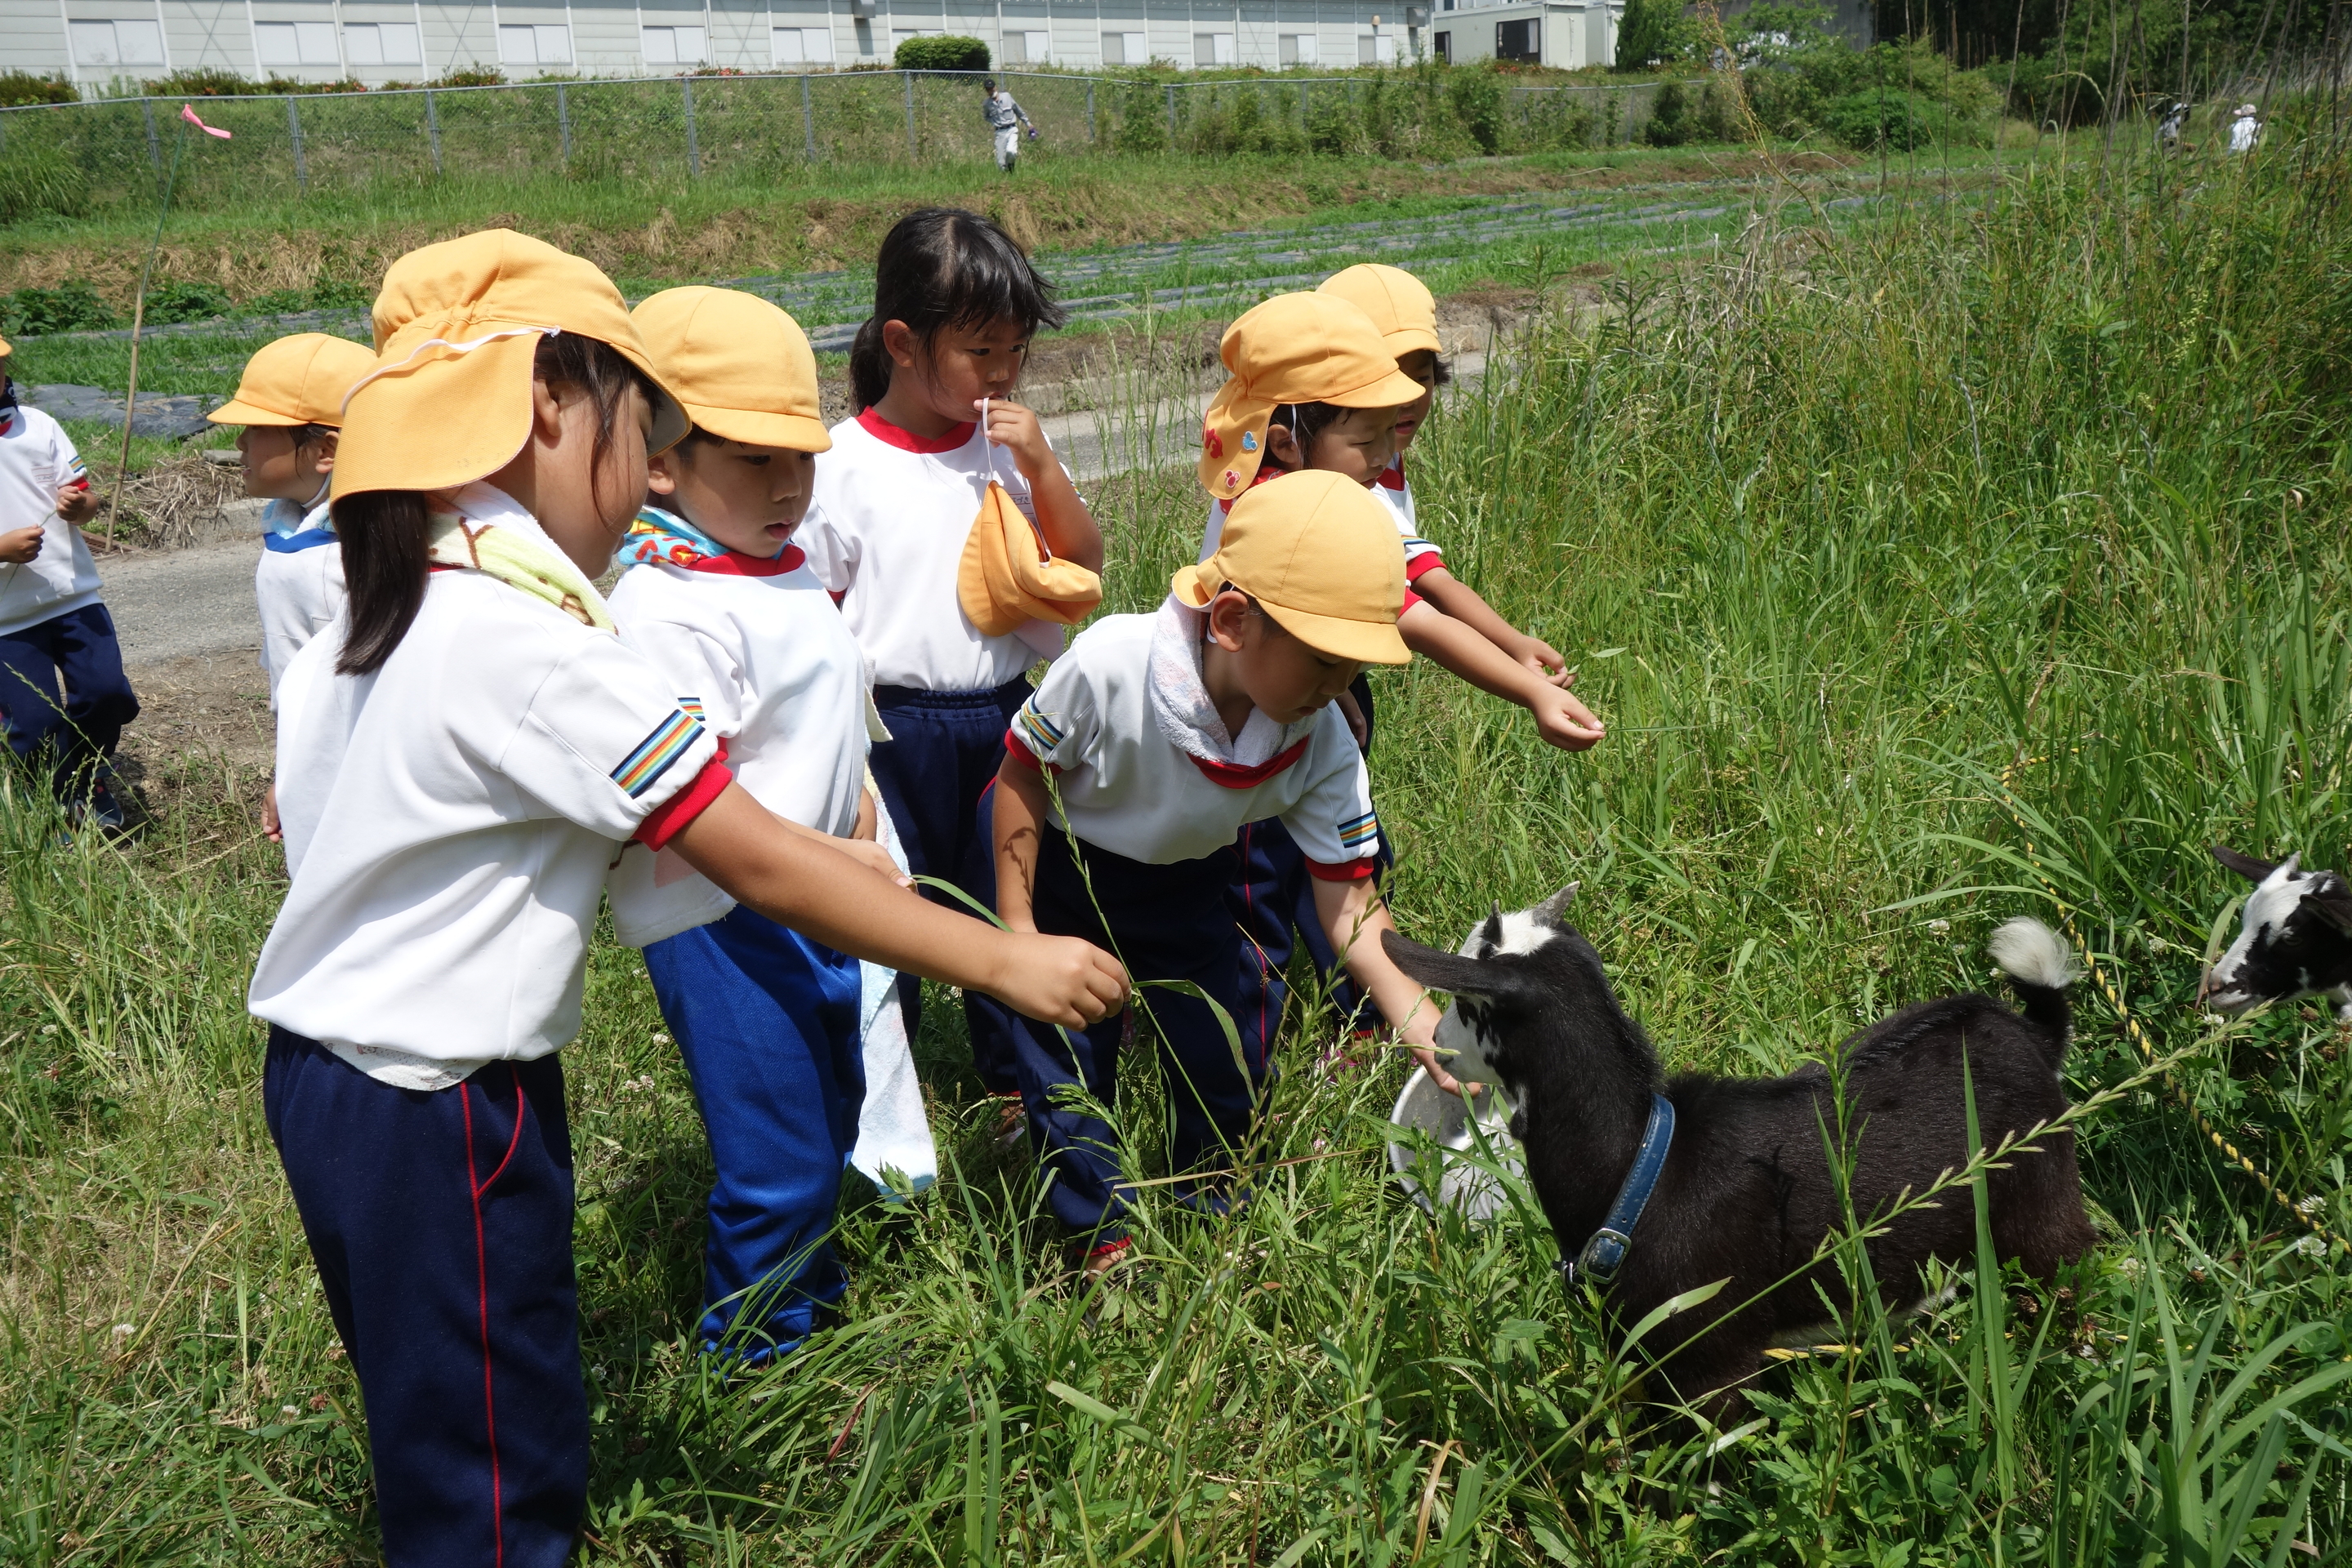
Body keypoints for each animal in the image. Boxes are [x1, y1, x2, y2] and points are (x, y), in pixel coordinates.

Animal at [1373, 889, 2097, 1419]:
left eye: (1466, 1003)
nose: (1433, 1042)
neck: (1643, 1168)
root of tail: (2031, 1035)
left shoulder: (1711, 1364)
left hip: (2043, 1203)